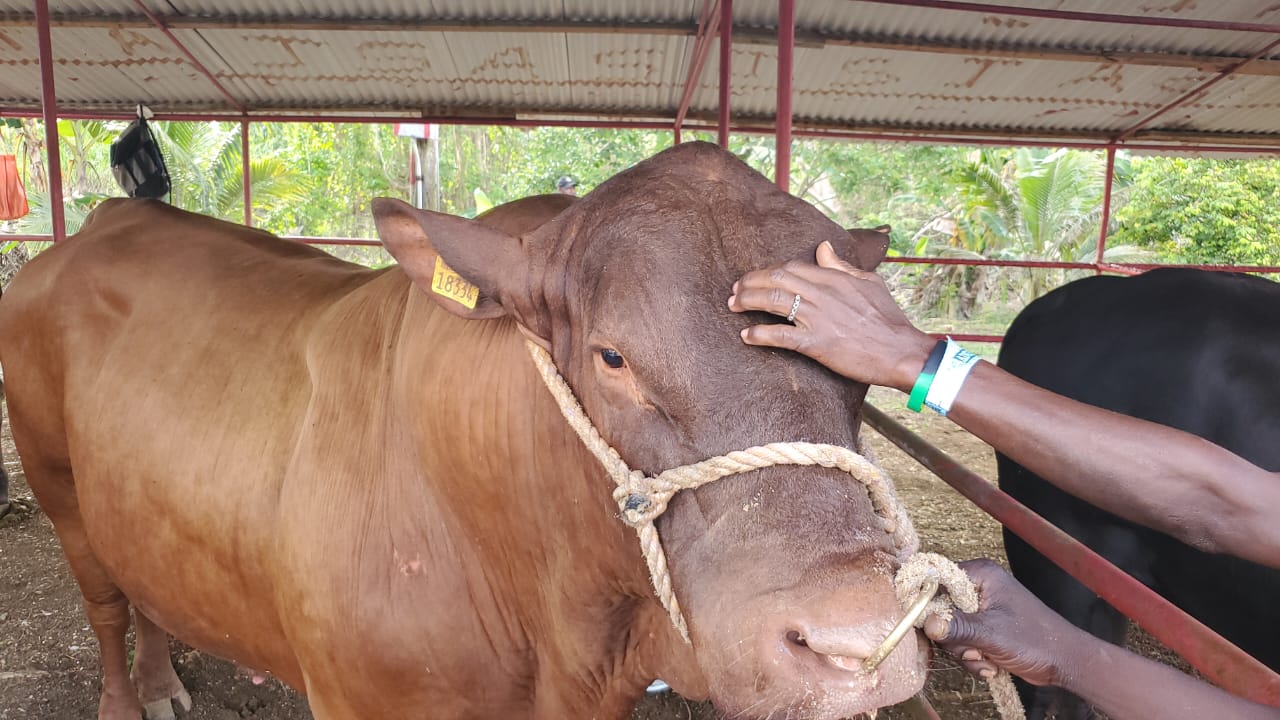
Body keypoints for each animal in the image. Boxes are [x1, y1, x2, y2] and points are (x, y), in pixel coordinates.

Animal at [0, 141, 927, 720]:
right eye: (612, 356)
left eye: (861, 358)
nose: (854, 641)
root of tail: (106, 224)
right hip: (56, 483)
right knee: (107, 604)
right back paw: (127, 696)